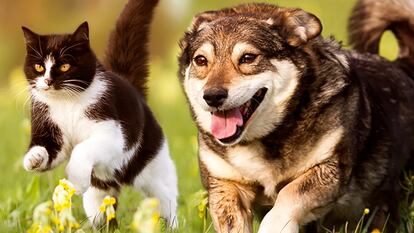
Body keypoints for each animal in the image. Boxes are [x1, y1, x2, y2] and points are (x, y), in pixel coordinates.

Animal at [21, 0, 178, 228]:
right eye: (39, 67)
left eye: (65, 65)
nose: (48, 81)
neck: (66, 102)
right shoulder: (49, 124)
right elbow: (50, 150)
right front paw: (33, 159)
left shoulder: (112, 133)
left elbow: (83, 148)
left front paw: (76, 180)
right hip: (99, 191)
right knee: (103, 209)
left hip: (154, 164)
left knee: (166, 197)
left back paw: (172, 225)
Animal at [177, 0, 414, 232]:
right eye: (201, 60)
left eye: (248, 58)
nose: (212, 96)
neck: (269, 137)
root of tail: (403, 65)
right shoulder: (225, 184)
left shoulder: (329, 170)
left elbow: (288, 195)